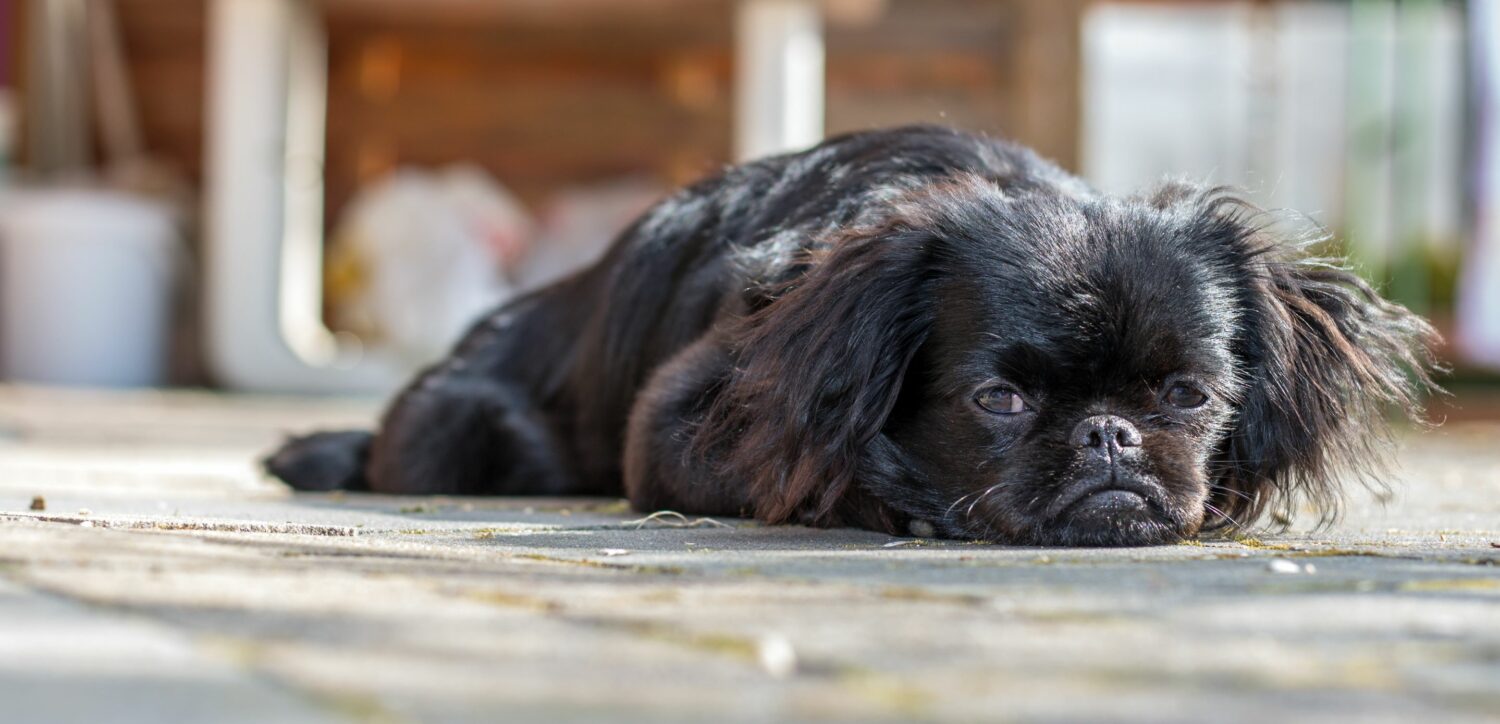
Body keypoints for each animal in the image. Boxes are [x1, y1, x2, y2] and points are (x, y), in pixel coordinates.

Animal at [270, 125, 1440, 545]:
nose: (1108, 434)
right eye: (999, 400)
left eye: (1187, 396)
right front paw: (895, 499)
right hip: (459, 429)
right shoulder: (679, 422)